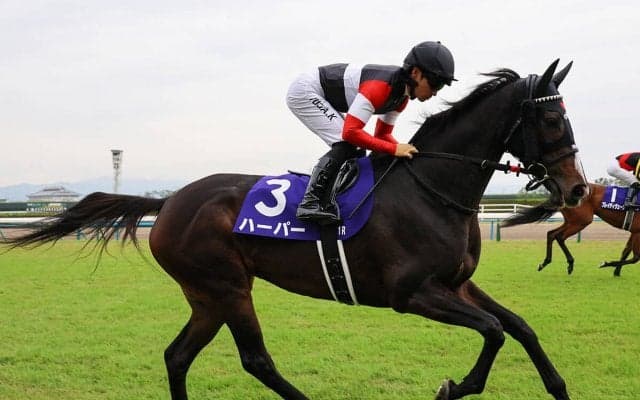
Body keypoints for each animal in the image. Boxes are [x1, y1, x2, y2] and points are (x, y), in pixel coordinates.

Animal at [1, 60, 588, 400]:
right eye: (551, 120)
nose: (578, 189)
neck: (431, 188)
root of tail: (167, 203)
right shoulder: (411, 294)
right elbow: (492, 332)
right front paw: (452, 386)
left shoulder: (457, 284)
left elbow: (518, 326)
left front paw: (558, 387)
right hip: (226, 286)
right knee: (255, 359)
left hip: (207, 295)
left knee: (178, 356)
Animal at [504, 182, 640, 276]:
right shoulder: (637, 232)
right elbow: (635, 258)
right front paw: (606, 264)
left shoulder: (634, 231)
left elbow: (626, 251)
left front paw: (616, 272)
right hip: (581, 221)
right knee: (559, 236)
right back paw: (570, 264)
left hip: (572, 221)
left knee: (551, 234)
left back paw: (545, 262)